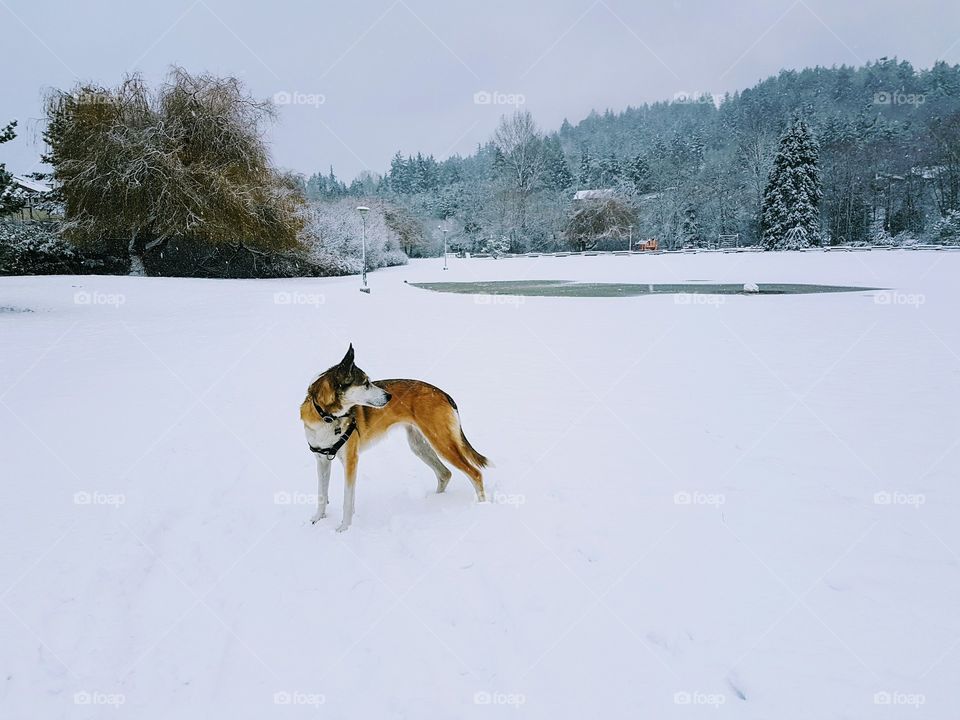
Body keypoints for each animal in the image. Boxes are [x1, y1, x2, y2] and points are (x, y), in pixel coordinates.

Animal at [300, 346, 492, 532]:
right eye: (365, 383)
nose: (389, 396)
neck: (327, 416)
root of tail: (442, 393)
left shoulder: (351, 461)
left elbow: (347, 501)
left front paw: (344, 529)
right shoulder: (322, 460)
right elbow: (322, 494)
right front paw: (318, 519)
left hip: (441, 443)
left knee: (475, 473)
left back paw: (482, 507)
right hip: (419, 446)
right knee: (445, 473)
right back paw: (435, 502)